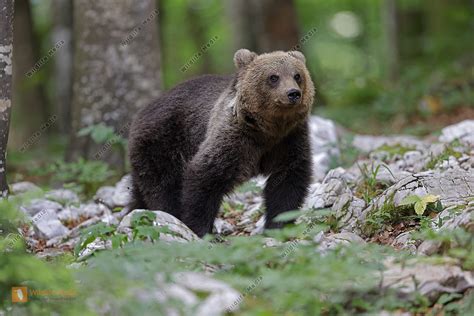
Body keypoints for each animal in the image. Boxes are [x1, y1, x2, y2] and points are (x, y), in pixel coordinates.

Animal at [129, 48, 314, 237]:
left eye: (297, 75)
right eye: (273, 77)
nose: (293, 93)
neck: (268, 130)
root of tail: (141, 113)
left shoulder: (289, 140)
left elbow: (288, 181)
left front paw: (278, 226)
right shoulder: (234, 137)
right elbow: (206, 176)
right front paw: (198, 229)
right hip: (163, 143)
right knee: (163, 187)